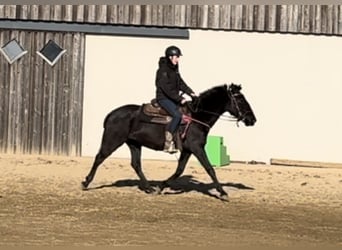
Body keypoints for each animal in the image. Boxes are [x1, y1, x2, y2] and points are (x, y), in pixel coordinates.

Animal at [81, 84, 255, 201]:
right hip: (113, 140)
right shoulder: (197, 148)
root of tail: (111, 114)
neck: (196, 117)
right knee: (99, 157)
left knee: (136, 164)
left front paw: (162, 186)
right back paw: (86, 182)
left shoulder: (188, 150)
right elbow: (209, 169)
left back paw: (149, 188)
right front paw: (223, 193)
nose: (252, 119)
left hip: (134, 144)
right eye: (240, 99)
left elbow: (179, 170)